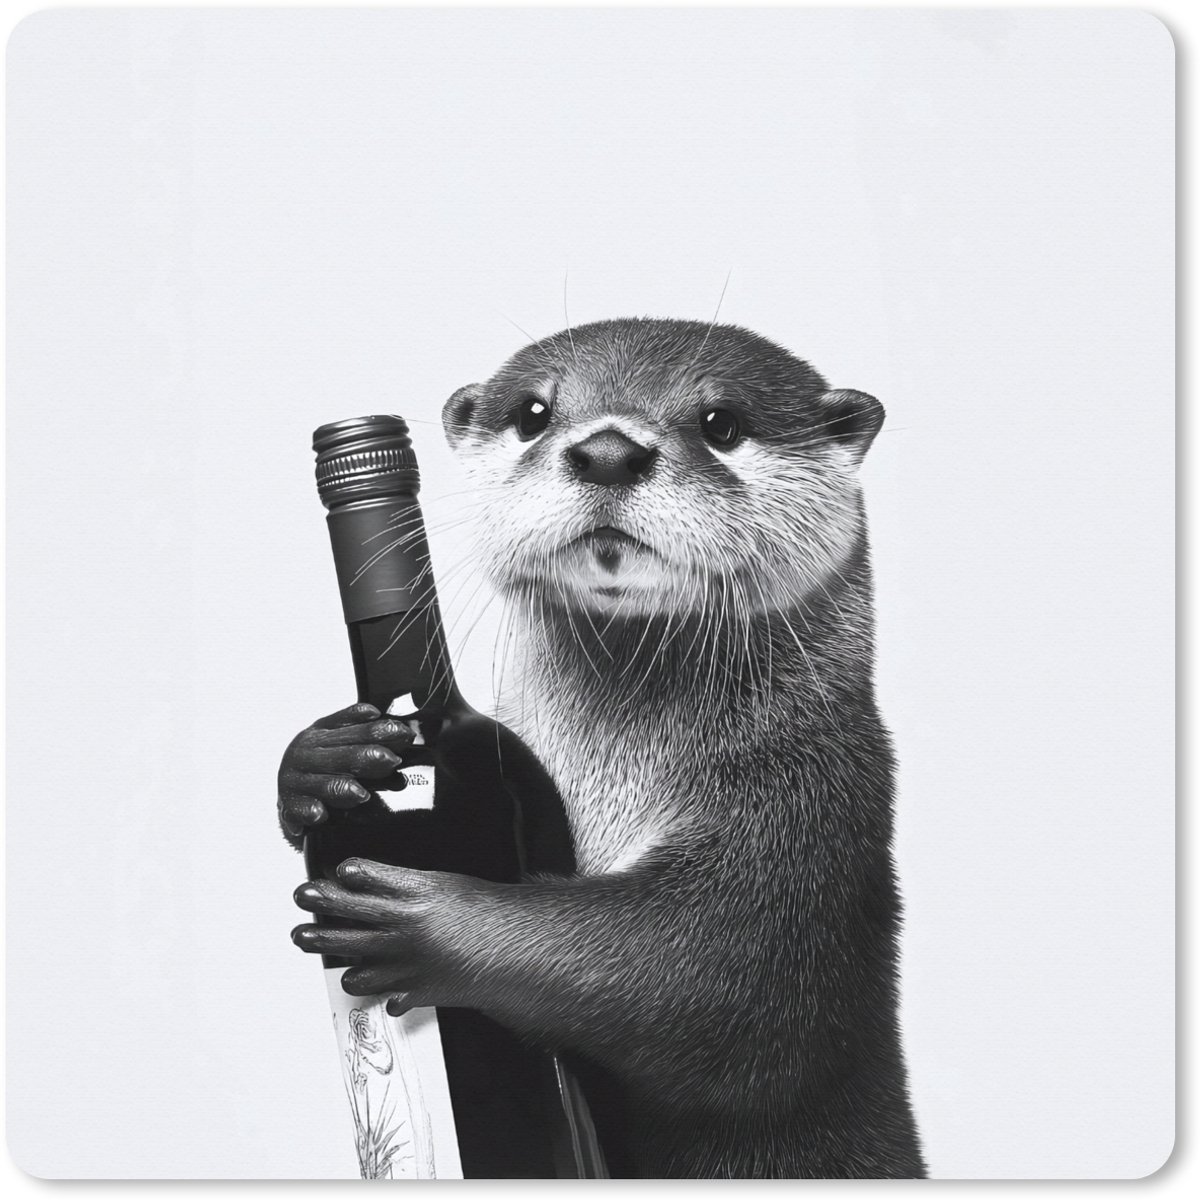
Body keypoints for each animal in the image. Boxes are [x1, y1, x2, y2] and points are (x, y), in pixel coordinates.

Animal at [280, 318, 925, 1178]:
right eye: (534, 412)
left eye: (721, 423)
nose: (609, 450)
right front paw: (318, 761)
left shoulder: (811, 810)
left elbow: (707, 973)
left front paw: (435, 922)